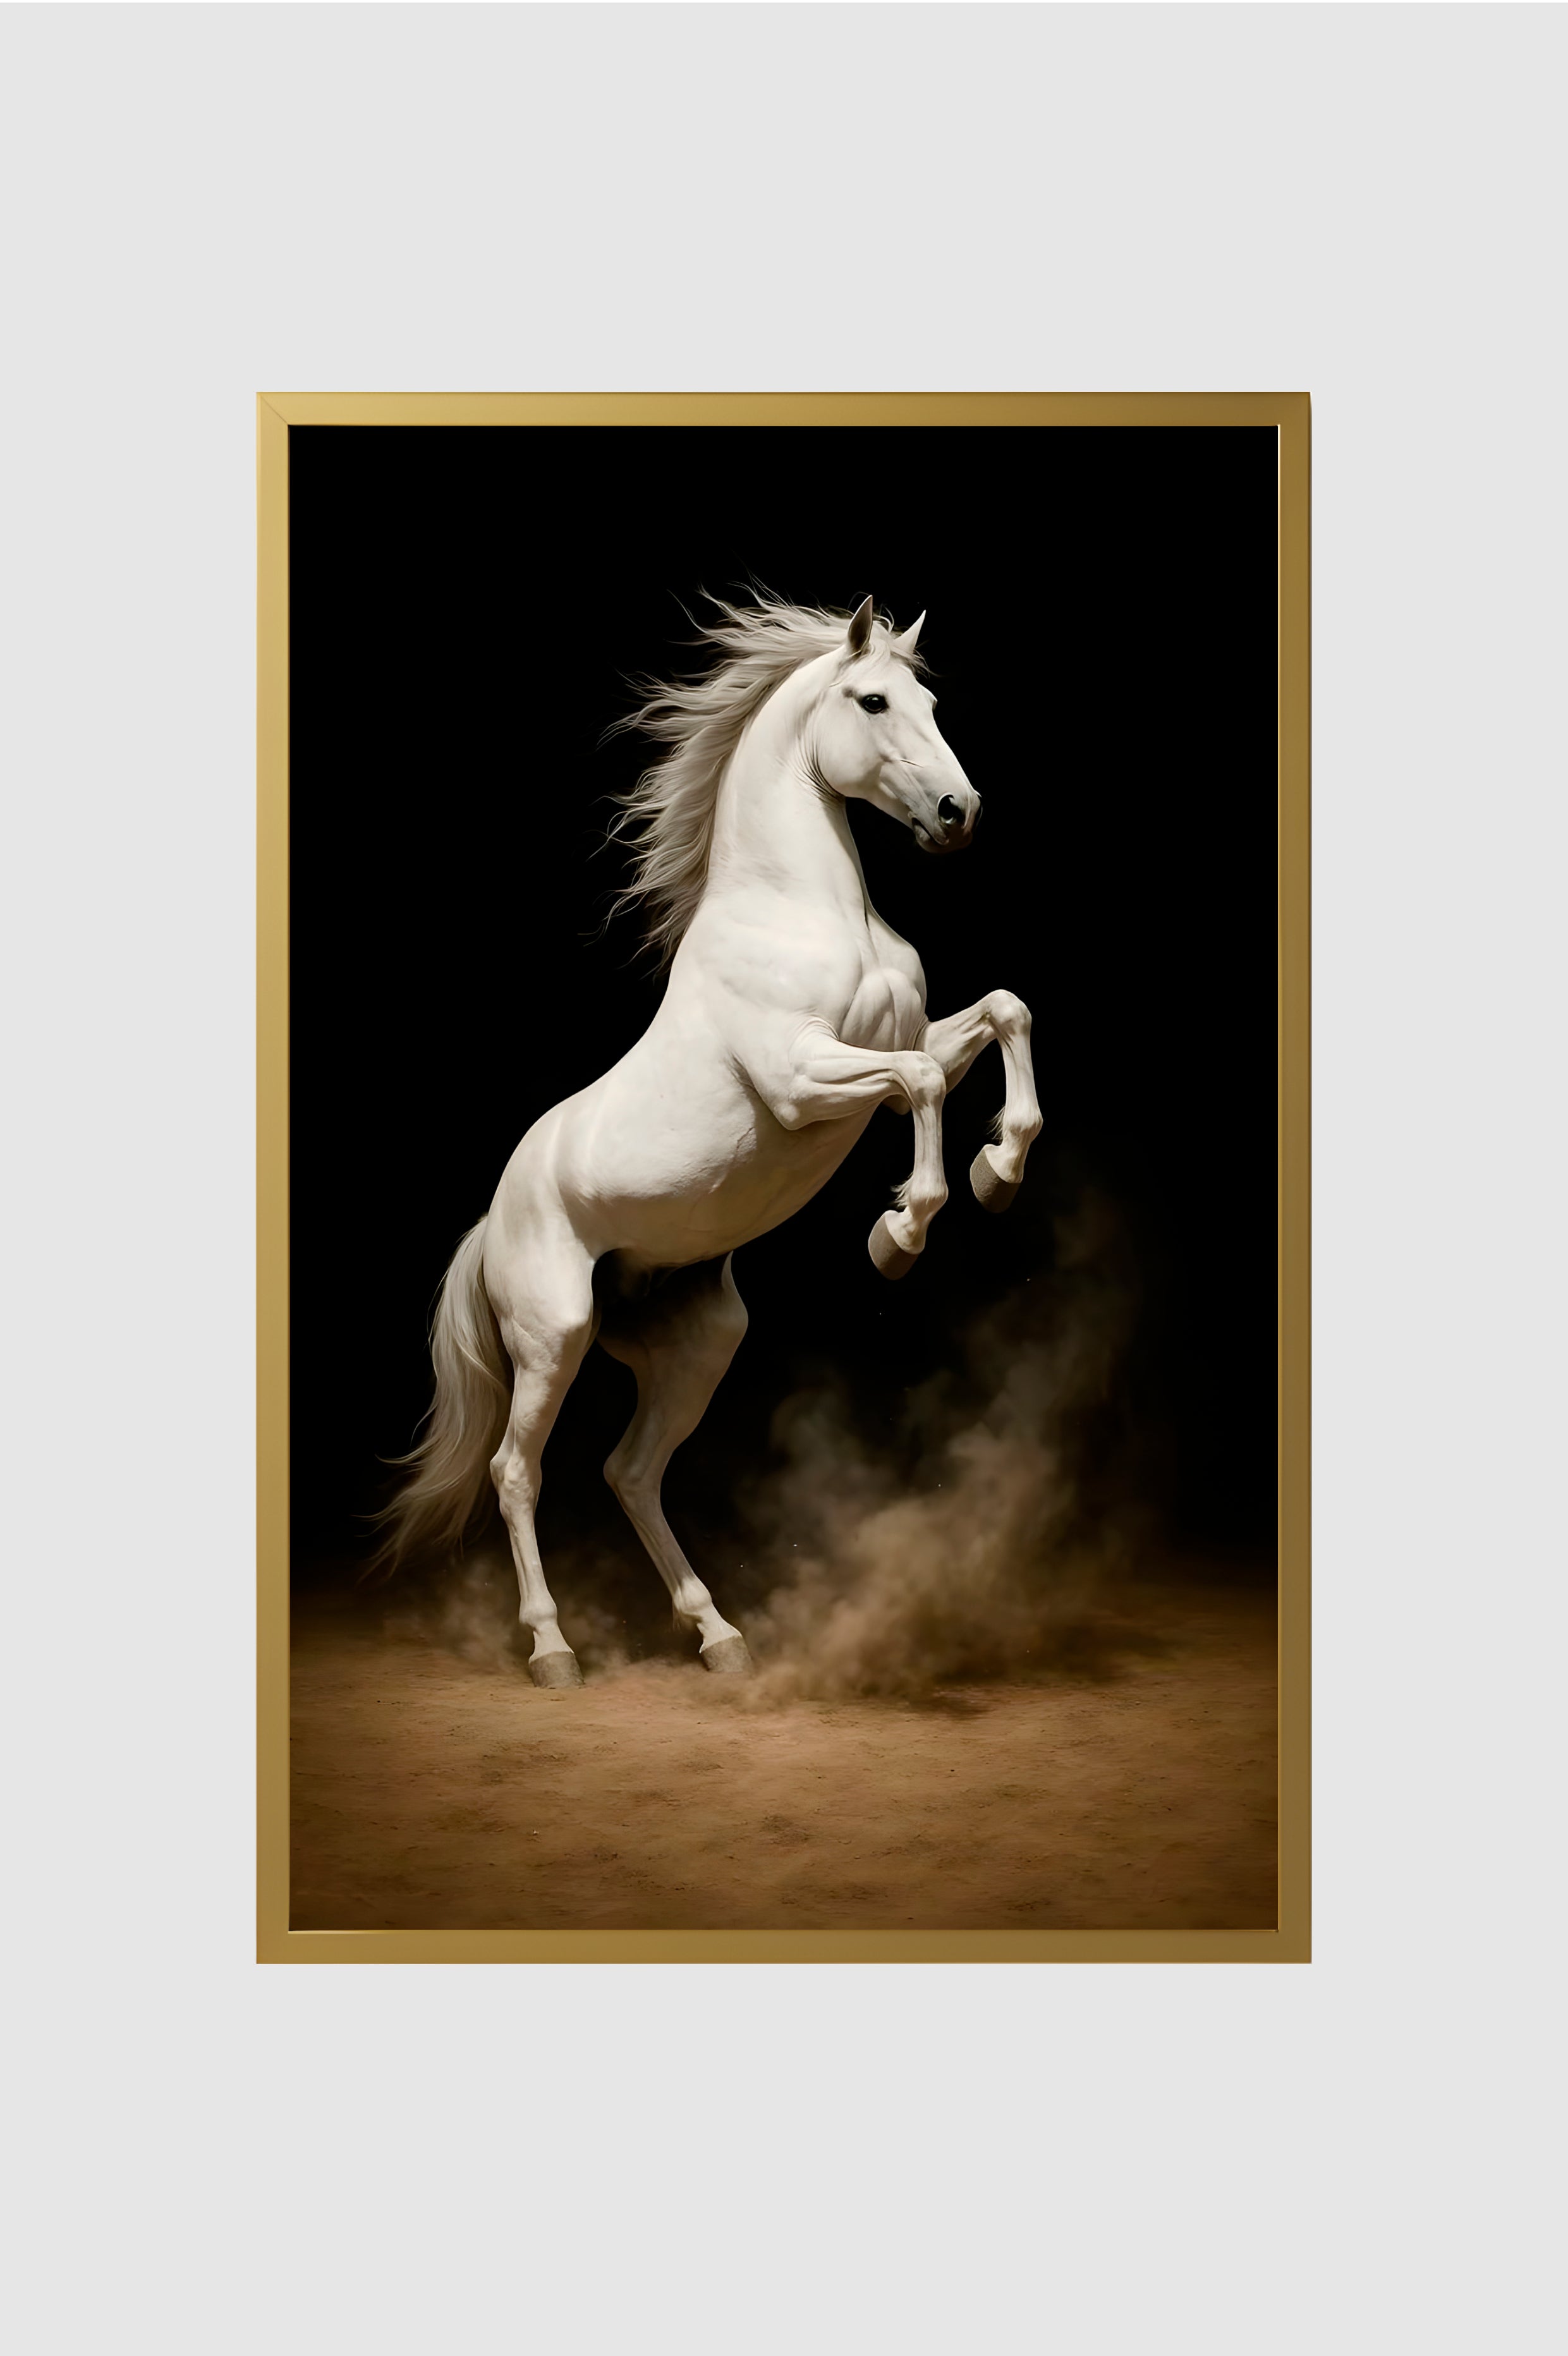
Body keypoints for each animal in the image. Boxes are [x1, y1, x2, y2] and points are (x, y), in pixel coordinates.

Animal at [378, 595, 1042, 1685]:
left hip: (700, 1343)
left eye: (934, 703)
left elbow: (1002, 1013)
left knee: (631, 1470)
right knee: (518, 1470)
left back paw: (718, 1635)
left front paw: (997, 1170)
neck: (805, 912)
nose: (960, 812)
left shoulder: (906, 1045)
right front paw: (900, 1233)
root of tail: (492, 1220)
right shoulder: (807, 1079)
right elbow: (918, 1087)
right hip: (553, 1335)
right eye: (872, 700)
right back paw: (554, 1650)